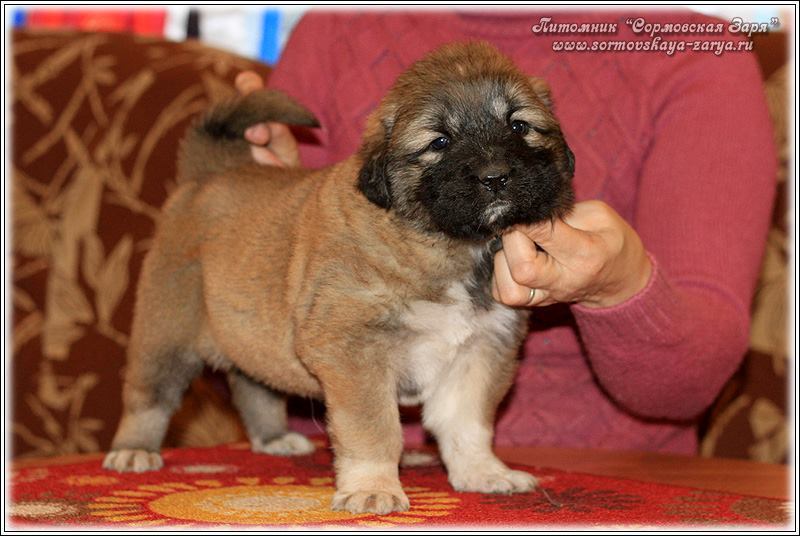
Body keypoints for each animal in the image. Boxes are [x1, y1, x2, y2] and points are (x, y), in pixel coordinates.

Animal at [103, 41, 575, 515]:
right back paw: (133, 450)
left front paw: (483, 473)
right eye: (440, 141)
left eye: (519, 126)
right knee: (149, 397)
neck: (446, 244)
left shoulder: (480, 348)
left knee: (252, 383)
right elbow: (374, 428)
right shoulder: (355, 350)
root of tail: (207, 175)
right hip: (167, 333)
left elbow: (468, 423)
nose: (495, 177)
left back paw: (274, 438)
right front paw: (373, 487)